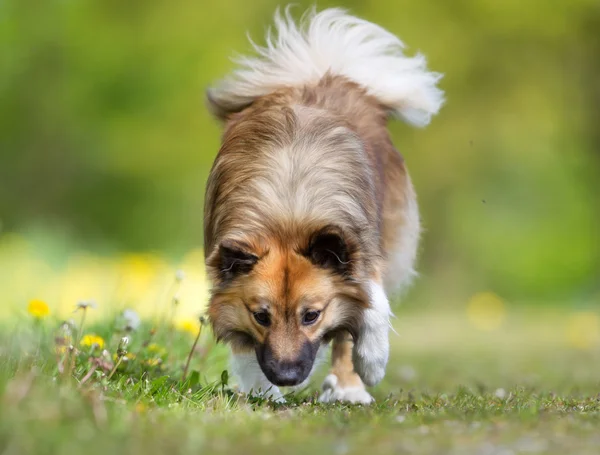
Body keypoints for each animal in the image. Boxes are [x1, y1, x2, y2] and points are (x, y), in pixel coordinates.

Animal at [204, 6, 442, 406]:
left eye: (311, 316)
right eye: (261, 316)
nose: (286, 376)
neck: (288, 216)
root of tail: (324, 71)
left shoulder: (362, 249)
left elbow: (371, 304)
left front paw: (371, 362)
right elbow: (244, 345)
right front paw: (263, 390)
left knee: (349, 328)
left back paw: (349, 387)